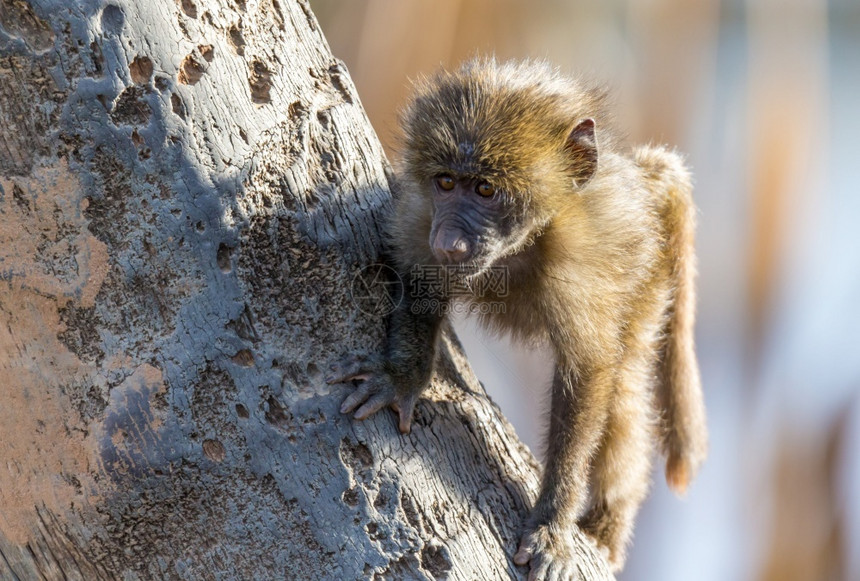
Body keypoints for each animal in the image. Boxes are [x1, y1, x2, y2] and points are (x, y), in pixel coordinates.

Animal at [326, 56, 708, 576]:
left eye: (486, 189)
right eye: (446, 182)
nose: (450, 243)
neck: (519, 247)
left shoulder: (581, 261)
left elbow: (588, 375)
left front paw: (552, 524)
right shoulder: (419, 214)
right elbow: (421, 284)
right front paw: (401, 378)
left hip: (649, 276)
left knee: (625, 389)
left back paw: (605, 530)